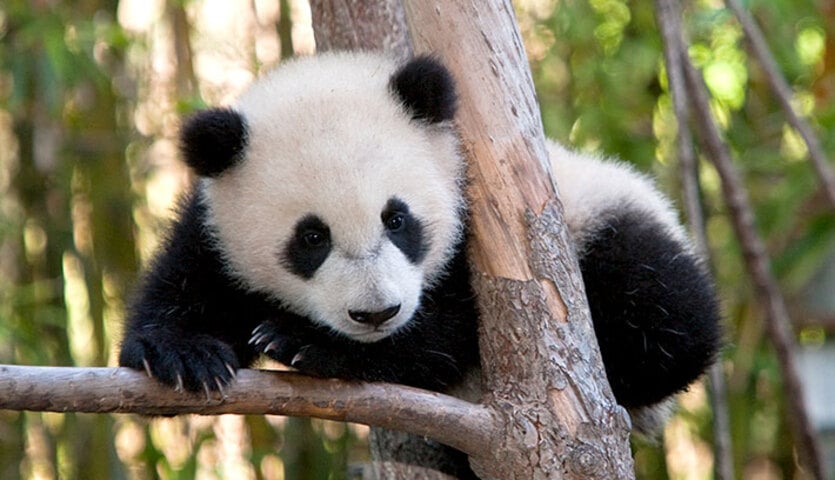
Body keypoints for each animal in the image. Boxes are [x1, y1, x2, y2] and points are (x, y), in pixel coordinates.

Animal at [119, 51, 720, 437]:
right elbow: (189, 285)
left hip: (609, 220)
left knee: (668, 318)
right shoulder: (215, 229)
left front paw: (306, 344)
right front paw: (185, 355)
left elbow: (450, 329)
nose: (376, 313)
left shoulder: (486, 229)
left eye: (397, 219)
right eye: (311, 237)